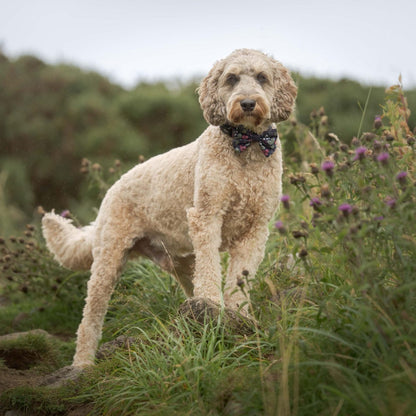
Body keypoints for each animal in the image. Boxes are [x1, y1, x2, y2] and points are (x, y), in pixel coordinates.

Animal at [41, 49, 296, 368]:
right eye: (231, 78)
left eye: (262, 77)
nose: (248, 103)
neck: (246, 145)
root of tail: (111, 190)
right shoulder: (206, 217)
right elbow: (211, 270)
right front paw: (215, 305)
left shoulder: (255, 230)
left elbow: (240, 276)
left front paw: (238, 314)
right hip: (108, 261)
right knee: (90, 320)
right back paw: (83, 365)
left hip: (179, 261)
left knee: (191, 281)